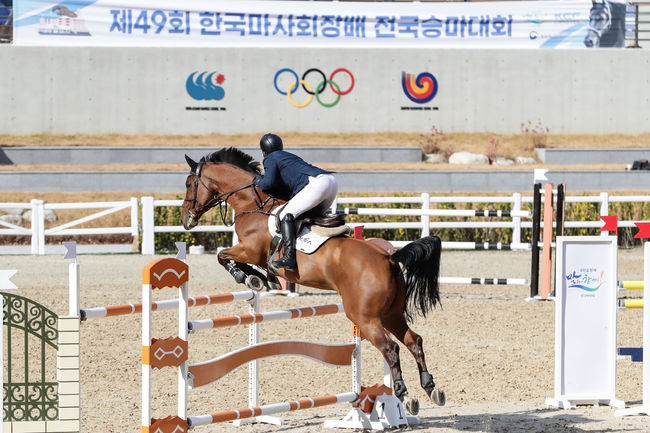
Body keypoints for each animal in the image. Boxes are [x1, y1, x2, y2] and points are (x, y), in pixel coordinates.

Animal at [182, 147, 446, 414]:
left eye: (189, 184)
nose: (186, 219)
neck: (252, 204)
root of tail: (389, 257)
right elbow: (239, 261)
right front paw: (264, 279)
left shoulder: (249, 250)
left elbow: (222, 255)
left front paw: (249, 277)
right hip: (391, 313)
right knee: (413, 340)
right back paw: (430, 388)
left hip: (365, 317)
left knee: (390, 349)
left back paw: (404, 395)